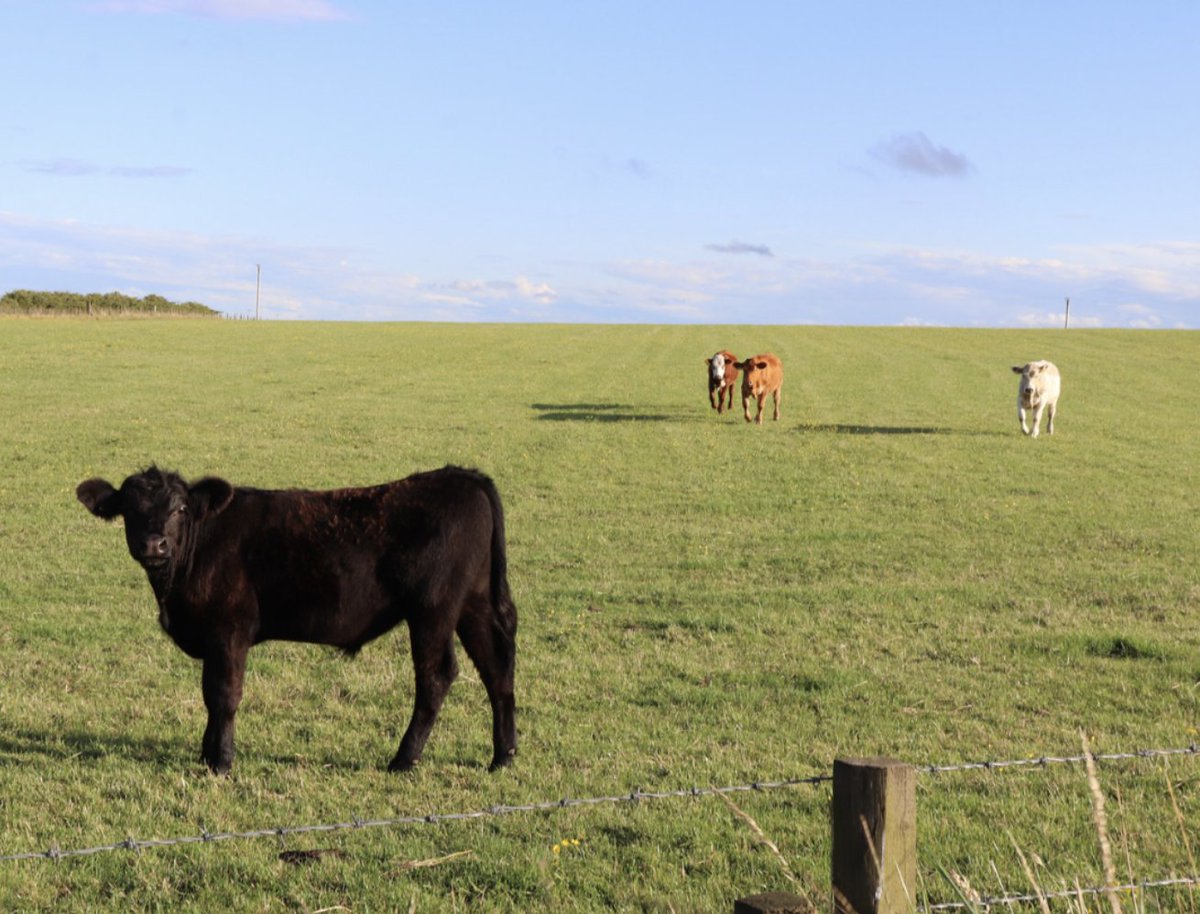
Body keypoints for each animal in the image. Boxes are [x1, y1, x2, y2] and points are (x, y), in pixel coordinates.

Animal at [76, 465, 517, 775]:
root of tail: (461, 475)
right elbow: (209, 696)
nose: (154, 544)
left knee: (436, 676)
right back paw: (503, 756)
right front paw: (205, 754)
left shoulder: (229, 631)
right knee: (496, 668)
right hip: (474, 605)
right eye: (129, 509)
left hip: (432, 610)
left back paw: (403, 759)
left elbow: (223, 695)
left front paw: (220, 762)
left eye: (180, 507)